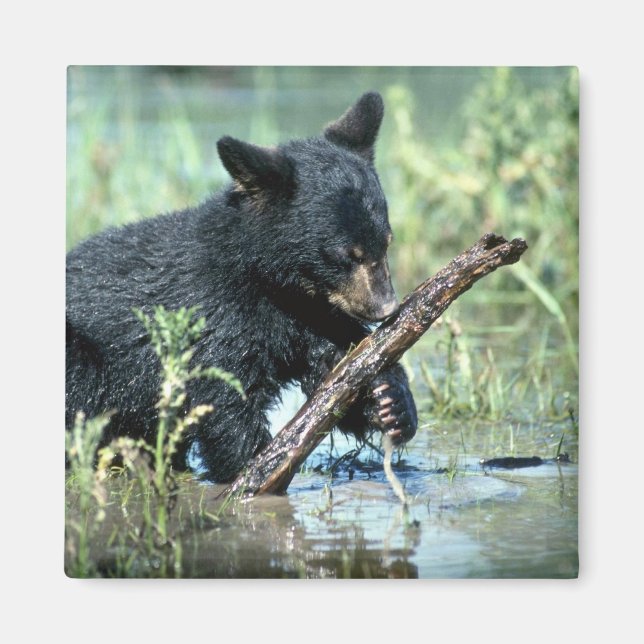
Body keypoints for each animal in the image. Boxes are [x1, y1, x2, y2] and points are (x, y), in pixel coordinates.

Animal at [66, 91, 417, 483]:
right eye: (346, 255)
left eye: (386, 243)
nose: (386, 307)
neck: (270, 284)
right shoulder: (215, 315)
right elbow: (225, 398)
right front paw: (256, 470)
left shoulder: (310, 316)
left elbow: (335, 367)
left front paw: (390, 400)